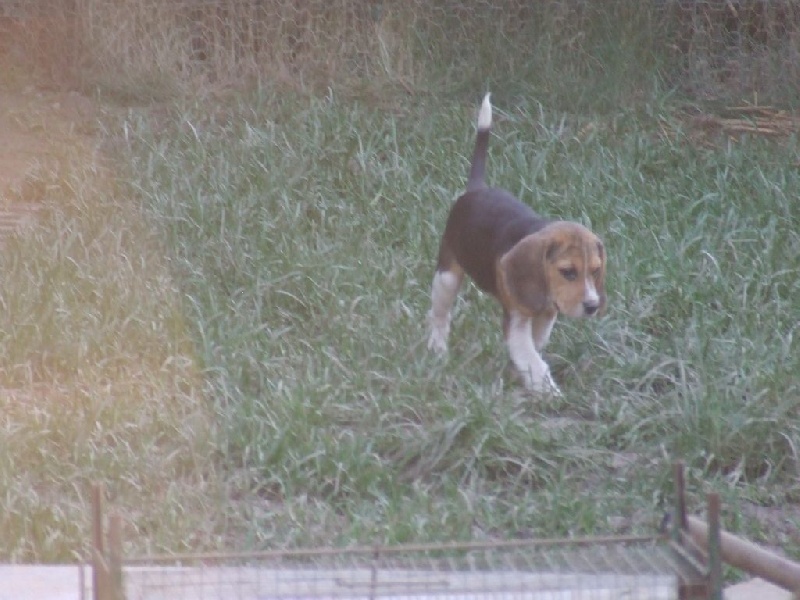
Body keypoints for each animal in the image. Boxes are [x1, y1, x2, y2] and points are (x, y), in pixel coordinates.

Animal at [427, 93, 606, 394]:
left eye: (595, 271)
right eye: (568, 272)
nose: (592, 306)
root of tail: (476, 190)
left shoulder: (546, 315)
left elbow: (534, 347)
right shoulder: (518, 320)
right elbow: (530, 357)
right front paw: (548, 391)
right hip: (447, 276)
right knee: (440, 315)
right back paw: (437, 350)